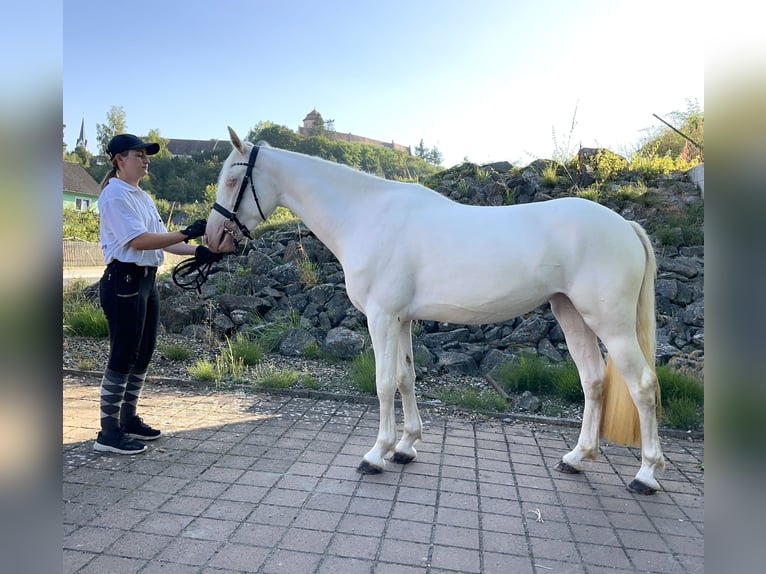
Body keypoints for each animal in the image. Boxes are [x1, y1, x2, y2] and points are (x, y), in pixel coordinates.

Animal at [208, 128, 664, 498]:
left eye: (232, 179)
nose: (213, 237)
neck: (367, 217)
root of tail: (625, 226)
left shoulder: (381, 317)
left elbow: (383, 383)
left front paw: (376, 454)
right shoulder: (402, 319)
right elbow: (406, 378)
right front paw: (406, 447)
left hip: (611, 324)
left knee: (641, 385)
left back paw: (646, 474)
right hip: (571, 315)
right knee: (594, 382)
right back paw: (576, 457)